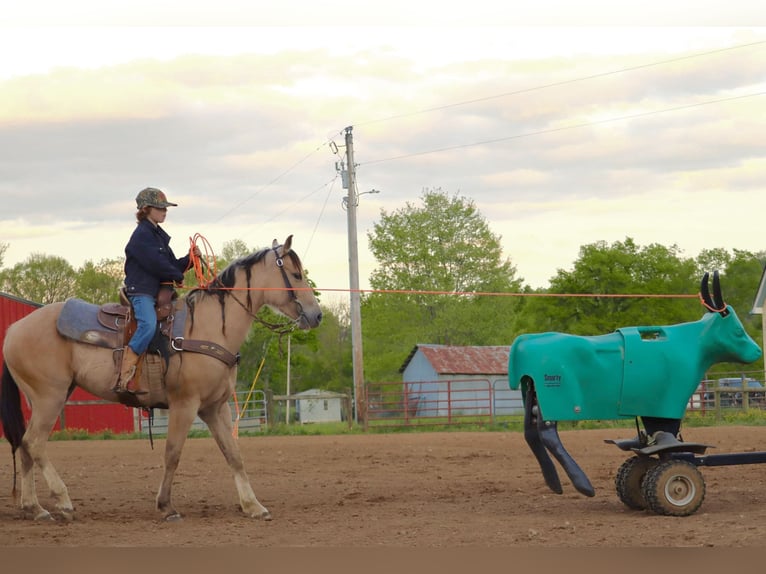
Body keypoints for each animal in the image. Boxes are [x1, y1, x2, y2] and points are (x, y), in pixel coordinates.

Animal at [0, 236, 324, 524]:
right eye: (296, 274)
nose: (317, 315)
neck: (208, 326)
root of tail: (14, 329)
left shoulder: (215, 407)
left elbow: (233, 454)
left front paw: (253, 506)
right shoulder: (185, 404)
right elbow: (173, 453)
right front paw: (166, 507)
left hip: (44, 399)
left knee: (26, 446)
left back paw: (35, 508)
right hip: (50, 398)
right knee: (34, 443)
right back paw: (63, 502)